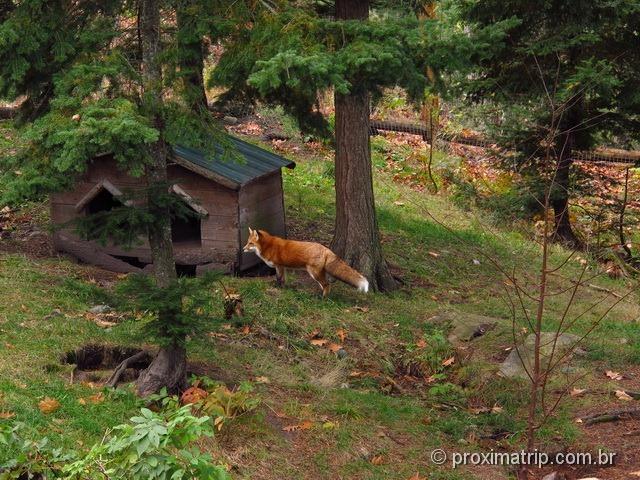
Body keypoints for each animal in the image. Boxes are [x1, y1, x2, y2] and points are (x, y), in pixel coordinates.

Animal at [241, 228, 370, 298]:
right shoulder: (284, 267)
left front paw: (277, 288)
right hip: (317, 274)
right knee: (325, 285)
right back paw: (320, 295)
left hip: (314, 273)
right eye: (247, 242)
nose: (243, 249)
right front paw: (284, 288)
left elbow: (278, 279)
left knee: (327, 285)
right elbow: (283, 280)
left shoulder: (279, 266)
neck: (268, 246)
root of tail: (326, 249)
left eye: (250, 243)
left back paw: (322, 299)